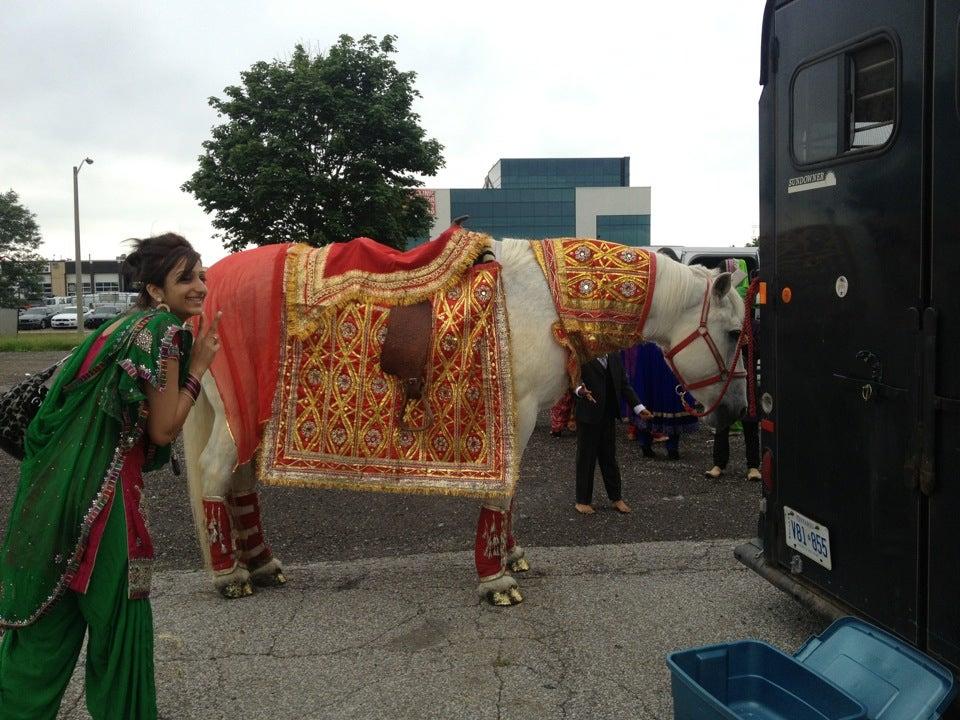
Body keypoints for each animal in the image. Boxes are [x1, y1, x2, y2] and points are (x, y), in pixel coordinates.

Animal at [182, 239, 752, 604]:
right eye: (731, 333)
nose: (737, 410)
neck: (546, 298)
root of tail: (205, 295)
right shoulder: (518, 409)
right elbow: (501, 490)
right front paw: (495, 580)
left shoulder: (519, 417)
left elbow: (511, 487)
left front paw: (511, 555)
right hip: (235, 412)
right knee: (215, 473)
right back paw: (230, 576)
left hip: (249, 415)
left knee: (238, 482)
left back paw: (261, 563)